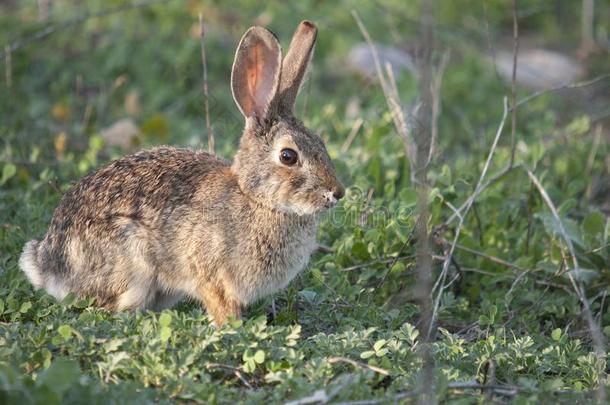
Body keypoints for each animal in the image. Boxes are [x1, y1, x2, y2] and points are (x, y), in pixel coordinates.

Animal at [19, 21, 342, 326]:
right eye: (288, 156)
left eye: (321, 143)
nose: (337, 192)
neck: (257, 199)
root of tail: (47, 263)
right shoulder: (209, 272)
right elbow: (220, 304)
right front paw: (231, 327)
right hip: (132, 265)